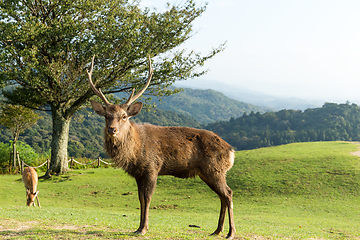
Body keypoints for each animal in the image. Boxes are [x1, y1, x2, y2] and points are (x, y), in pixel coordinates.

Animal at [86, 55, 235, 238]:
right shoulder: (138, 174)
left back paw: (230, 233)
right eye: (106, 116)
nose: (112, 129)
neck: (135, 152)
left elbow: (148, 198)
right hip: (208, 173)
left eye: (124, 116)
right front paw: (138, 227)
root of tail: (231, 151)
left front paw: (143, 228)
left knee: (228, 193)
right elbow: (140, 198)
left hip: (215, 169)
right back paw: (217, 231)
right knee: (222, 196)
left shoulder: (152, 167)